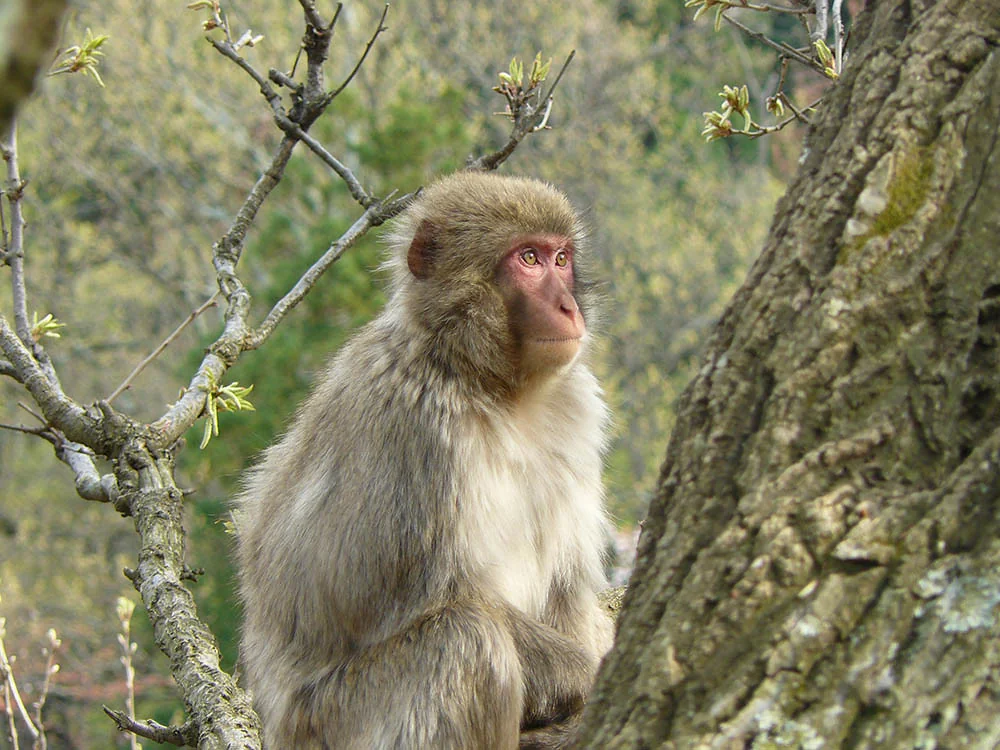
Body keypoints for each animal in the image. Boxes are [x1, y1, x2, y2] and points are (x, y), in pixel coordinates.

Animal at [235, 171, 612, 749]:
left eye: (561, 258)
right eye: (528, 259)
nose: (568, 307)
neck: (489, 382)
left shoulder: (578, 413)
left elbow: (568, 588)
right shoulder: (421, 426)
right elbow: (443, 596)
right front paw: (586, 676)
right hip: (333, 720)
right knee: (467, 639)